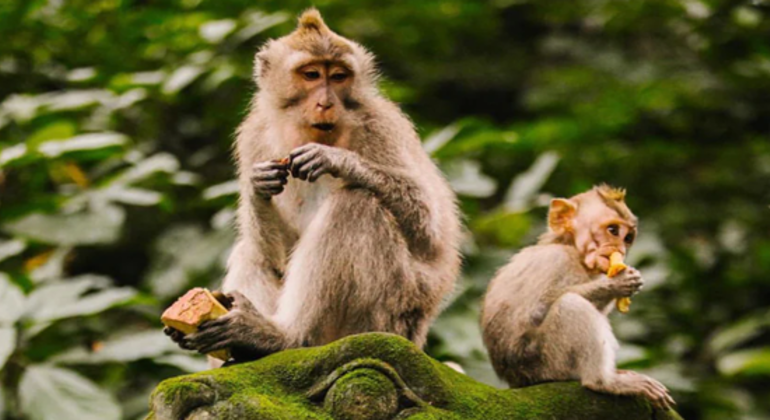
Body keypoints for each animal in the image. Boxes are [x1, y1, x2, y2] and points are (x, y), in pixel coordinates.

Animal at [164, 9, 461, 363]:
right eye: (311, 75)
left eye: (338, 77)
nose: (326, 103)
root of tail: (417, 335)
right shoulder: (254, 135)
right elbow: (277, 256)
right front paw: (256, 186)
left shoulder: (381, 125)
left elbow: (430, 228)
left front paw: (337, 160)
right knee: (252, 249)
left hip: (389, 313)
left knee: (356, 204)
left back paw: (285, 337)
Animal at [480, 185, 675, 410]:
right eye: (613, 230)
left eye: (628, 238)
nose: (621, 250)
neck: (572, 249)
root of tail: (519, 382)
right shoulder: (556, 260)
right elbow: (537, 309)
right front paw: (616, 284)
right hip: (549, 365)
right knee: (570, 304)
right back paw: (603, 381)